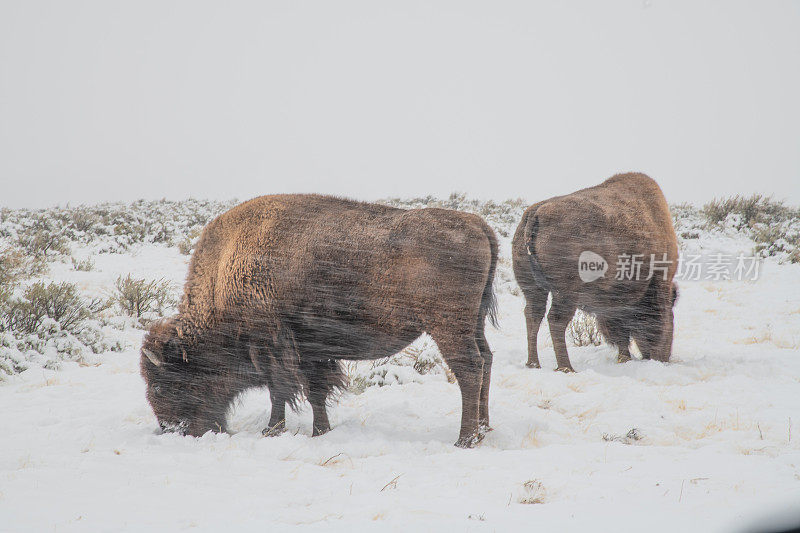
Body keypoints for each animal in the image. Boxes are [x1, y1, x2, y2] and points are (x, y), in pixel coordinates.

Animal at [141, 193, 496, 446]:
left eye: (159, 385)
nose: (172, 429)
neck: (224, 270)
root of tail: (479, 225)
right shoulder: (311, 351)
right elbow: (315, 392)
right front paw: (320, 431)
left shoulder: (272, 346)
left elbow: (280, 391)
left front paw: (272, 431)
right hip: (474, 323)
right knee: (487, 360)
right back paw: (484, 429)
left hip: (448, 327)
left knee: (469, 368)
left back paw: (465, 439)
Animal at [512, 174, 680, 370]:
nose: (663, 357)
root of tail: (535, 213)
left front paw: (624, 358)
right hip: (566, 293)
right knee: (556, 319)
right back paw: (567, 368)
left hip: (533, 288)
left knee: (533, 315)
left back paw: (533, 364)